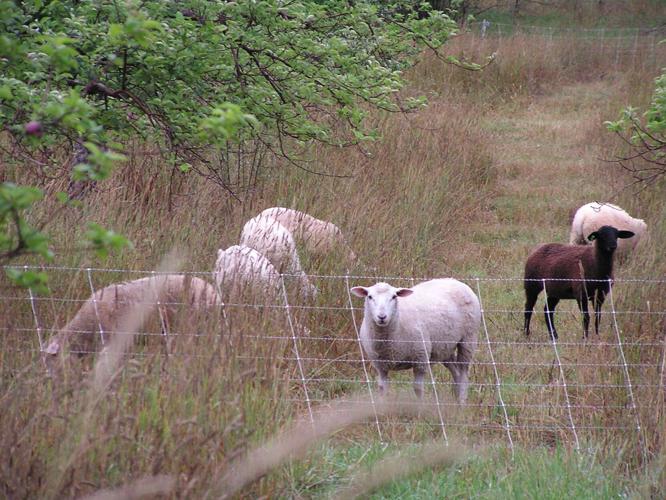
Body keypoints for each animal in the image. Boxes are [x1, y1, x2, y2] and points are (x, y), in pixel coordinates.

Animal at [350, 279, 480, 403]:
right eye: (370, 296)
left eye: (394, 297)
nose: (382, 317)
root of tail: (455, 281)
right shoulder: (380, 366)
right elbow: (382, 389)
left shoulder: (420, 359)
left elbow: (418, 388)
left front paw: (420, 408)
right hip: (444, 347)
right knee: (456, 373)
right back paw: (457, 402)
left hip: (468, 339)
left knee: (463, 373)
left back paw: (462, 402)